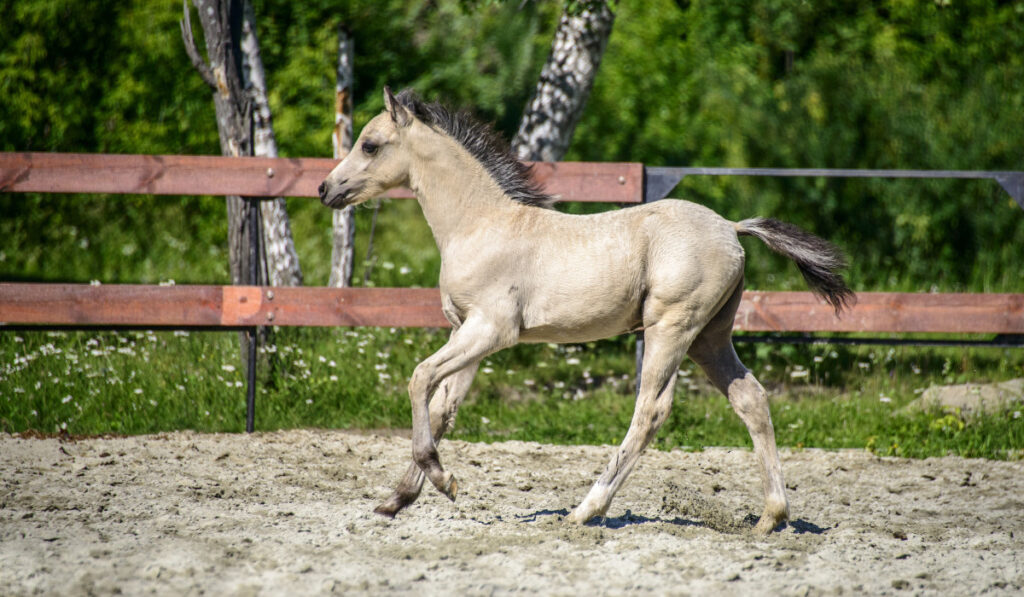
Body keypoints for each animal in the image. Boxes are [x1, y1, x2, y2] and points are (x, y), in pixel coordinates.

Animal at [319, 87, 856, 536]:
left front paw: (439, 479)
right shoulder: (467, 334)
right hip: (710, 337)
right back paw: (771, 517)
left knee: (651, 411)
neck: (481, 224)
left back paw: (586, 509)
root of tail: (730, 226)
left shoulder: (491, 330)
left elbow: (419, 379)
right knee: (752, 399)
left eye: (370, 145)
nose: (326, 189)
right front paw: (400, 498)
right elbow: (441, 406)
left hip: (671, 328)